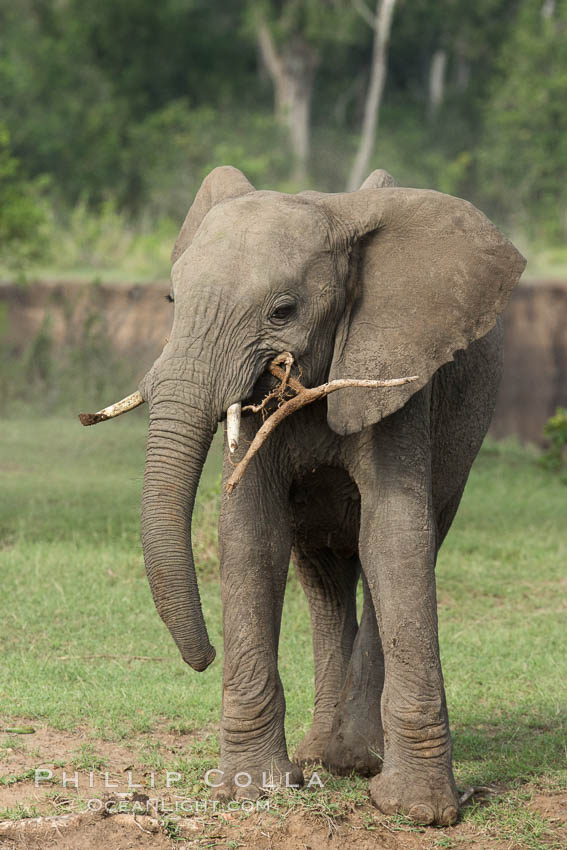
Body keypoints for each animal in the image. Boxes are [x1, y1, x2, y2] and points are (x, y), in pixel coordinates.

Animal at [120, 166, 528, 820]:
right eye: (173, 303)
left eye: (283, 312)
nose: (203, 659)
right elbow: (251, 536)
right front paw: (252, 791)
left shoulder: (399, 374)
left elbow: (394, 538)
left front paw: (419, 813)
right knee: (323, 571)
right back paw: (321, 756)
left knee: (401, 548)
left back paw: (354, 759)